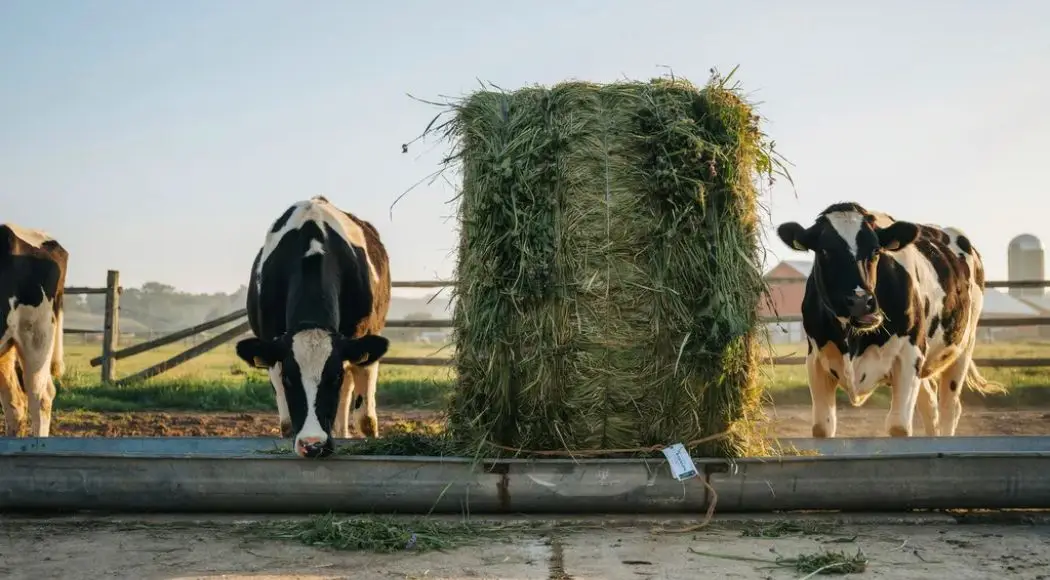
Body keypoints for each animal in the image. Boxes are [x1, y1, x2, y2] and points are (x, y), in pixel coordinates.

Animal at [234, 196, 391, 458]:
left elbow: (366, 420)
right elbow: (287, 425)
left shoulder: (362, 347)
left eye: (335, 376)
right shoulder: (273, 352)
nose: (313, 444)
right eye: (288, 378)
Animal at [776, 202, 1003, 439]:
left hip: (962, 348)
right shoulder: (816, 361)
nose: (860, 301)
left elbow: (898, 426)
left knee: (949, 408)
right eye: (824, 251)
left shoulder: (910, 355)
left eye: (876, 250)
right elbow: (822, 427)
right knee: (930, 405)